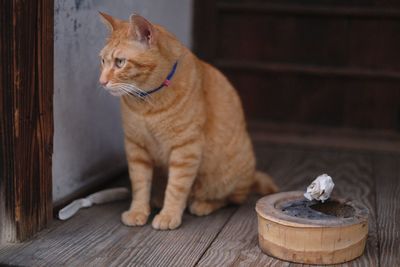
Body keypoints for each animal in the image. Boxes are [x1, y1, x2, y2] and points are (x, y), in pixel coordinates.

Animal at [98, 12, 276, 230]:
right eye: (103, 61)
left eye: (120, 62)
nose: (102, 81)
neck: (147, 104)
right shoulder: (136, 147)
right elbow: (140, 184)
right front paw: (138, 211)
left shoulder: (185, 149)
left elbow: (176, 187)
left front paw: (169, 215)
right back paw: (158, 198)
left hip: (230, 172)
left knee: (231, 198)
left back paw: (202, 204)